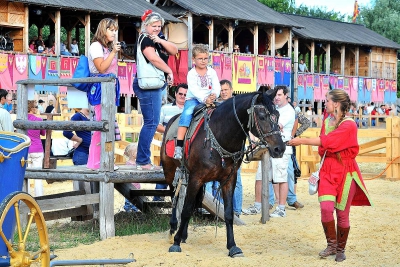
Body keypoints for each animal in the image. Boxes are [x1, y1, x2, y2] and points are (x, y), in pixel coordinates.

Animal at [159, 87, 284, 258]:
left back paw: (183, 234)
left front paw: (233, 247)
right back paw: (173, 229)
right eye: (262, 116)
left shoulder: (228, 180)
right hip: (170, 170)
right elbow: (185, 210)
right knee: (174, 197)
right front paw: (176, 243)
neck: (220, 136)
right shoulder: (196, 178)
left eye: (277, 115)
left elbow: (229, 214)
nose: (280, 148)